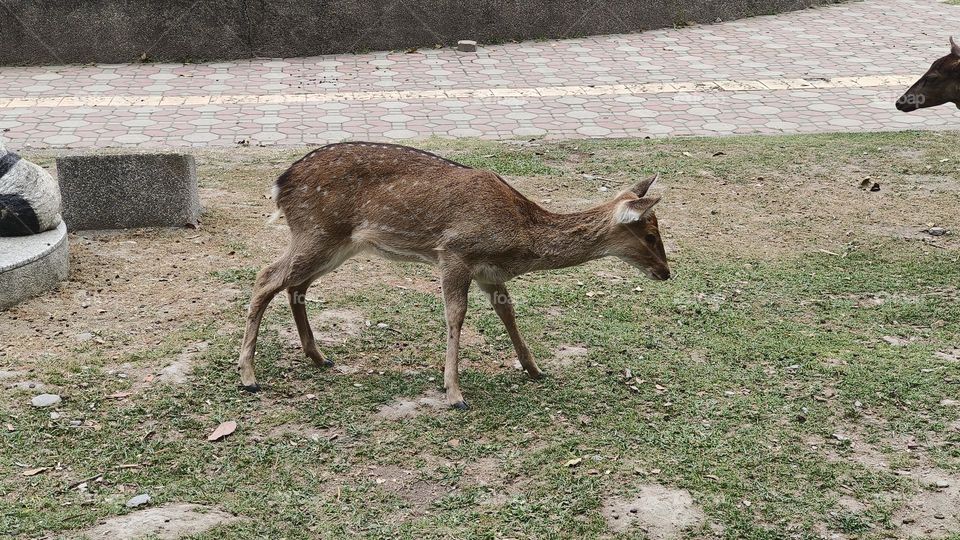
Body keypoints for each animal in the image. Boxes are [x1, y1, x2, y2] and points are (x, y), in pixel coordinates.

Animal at [238, 142, 670, 409]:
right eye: (650, 234)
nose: (666, 272)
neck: (519, 237)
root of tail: (279, 184)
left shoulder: (487, 271)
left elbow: (508, 313)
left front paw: (534, 369)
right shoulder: (454, 254)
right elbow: (455, 316)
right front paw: (454, 393)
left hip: (336, 244)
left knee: (295, 285)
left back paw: (318, 357)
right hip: (317, 232)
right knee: (266, 277)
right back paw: (249, 376)